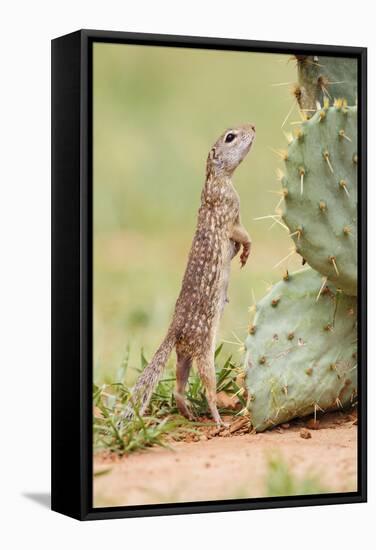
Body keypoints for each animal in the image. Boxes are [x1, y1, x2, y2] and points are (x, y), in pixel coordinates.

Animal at [123, 125, 256, 426]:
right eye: (230, 137)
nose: (253, 127)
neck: (214, 180)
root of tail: (174, 330)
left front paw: (242, 254)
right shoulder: (231, 212)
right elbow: (241, 233)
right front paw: (247, 249)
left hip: (183, 356)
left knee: (178, 386)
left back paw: (188, 412)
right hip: (204, 353)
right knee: (207, 388)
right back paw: (219, 420)